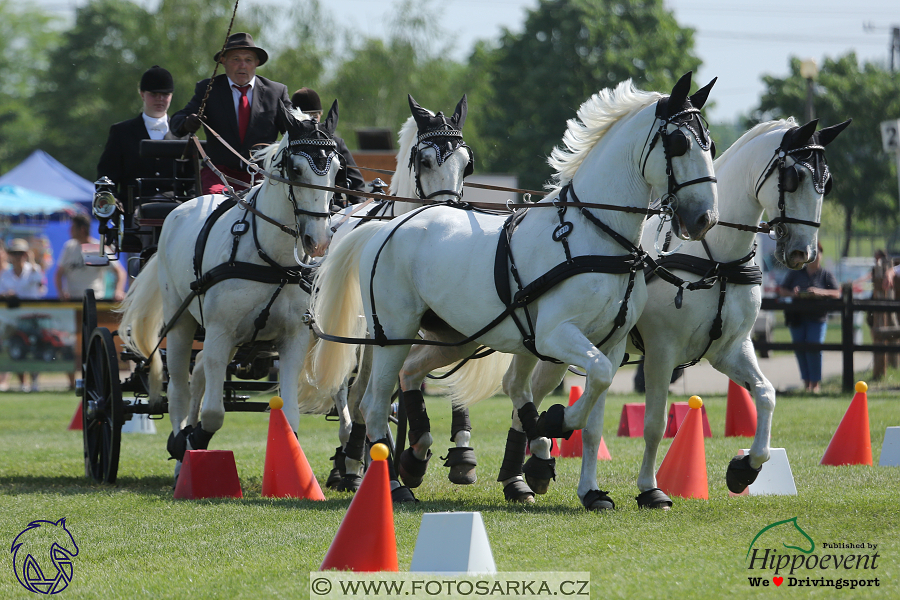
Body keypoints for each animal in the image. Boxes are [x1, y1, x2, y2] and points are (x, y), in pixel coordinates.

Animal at [119, 102, 342, 468]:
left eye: (335, 170)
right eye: (295, 169)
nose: (319, 241)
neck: (271, 261)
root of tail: (179, 209)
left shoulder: (293, 339)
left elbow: (290, 415)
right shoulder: (219, 332)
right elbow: (213, 413)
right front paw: (190, 440)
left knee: (197, 376)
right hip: (182, 323)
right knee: (180, 389)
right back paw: (180, 446)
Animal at [308, 70, 716, 504]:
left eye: (709, 141)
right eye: (679, 142)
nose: (704, 218)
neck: (596, 236)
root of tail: (384, 226)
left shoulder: (612, 341)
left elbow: (594, 418)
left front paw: (590, 490)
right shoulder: (556, 335)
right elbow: (596, 381)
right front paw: (556, 420)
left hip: (455, 336)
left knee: (410, 375)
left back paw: (414, 459)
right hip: (393, 333)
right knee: (372, 403)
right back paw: (393, 484)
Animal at [524, 115, 848, 508]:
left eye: (827, 182)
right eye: (794, 178)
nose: (803, 253)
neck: (717, 261)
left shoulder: (730, 350)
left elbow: (765, 394)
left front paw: (745, 467)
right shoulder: (662, 352)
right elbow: (655, 424)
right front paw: (650, 488)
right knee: (531, 394)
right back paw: (533, 465)